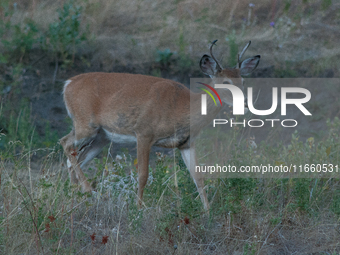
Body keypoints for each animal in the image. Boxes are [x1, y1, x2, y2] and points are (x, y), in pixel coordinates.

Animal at [59, 40, 258, 211]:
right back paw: (88, 190)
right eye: (226, 83)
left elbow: (198, 177)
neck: (182, 107)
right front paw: (139, 208)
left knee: (74, 158)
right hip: (86, 125)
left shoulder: (186, 143)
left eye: (243, 81)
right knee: (65, 143)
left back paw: (75, 195)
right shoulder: (144, 133)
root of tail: (67, 84)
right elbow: (143, 175)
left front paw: (208, 211)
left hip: (102, 137)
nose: (246, 103)